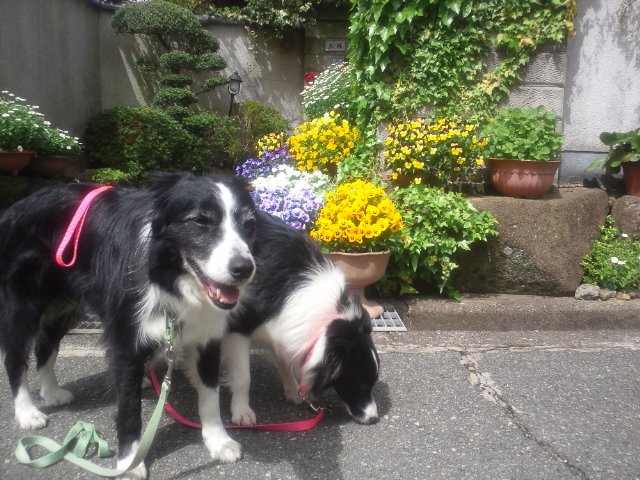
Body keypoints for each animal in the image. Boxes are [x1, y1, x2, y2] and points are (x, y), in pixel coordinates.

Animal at [0, 173, 257, 479]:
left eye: (249, 224)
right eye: (200, 221)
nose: (244, 269)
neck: (170, 276)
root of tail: (17, 206)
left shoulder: (207, 335)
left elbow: (210, 392)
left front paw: (219, 442)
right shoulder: (125, 342)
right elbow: (129, 409)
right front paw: (129, 463)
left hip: (65, 305)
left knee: (45, 345)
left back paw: (51, 393)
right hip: (22, 304)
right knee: (15, 357)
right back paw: (27, 412)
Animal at [222, 211, 380, 426]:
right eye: (360, 384)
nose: (374, 418)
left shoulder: (281, 325)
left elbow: (284, 358)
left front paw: (293, 391)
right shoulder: (237, 327)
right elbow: (243, 376)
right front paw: (242, 411)